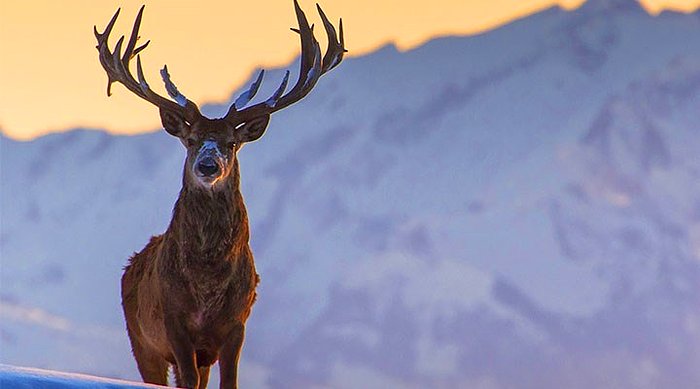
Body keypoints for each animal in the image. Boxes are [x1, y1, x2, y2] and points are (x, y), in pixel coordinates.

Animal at [93, 1, 344, 386]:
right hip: (140, 340)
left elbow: (230, 381)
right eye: (191, 139)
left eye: (232, 143)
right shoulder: (174, 323)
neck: (206, 286)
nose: (209, 166)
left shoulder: (236, 325)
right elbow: (188, 379)